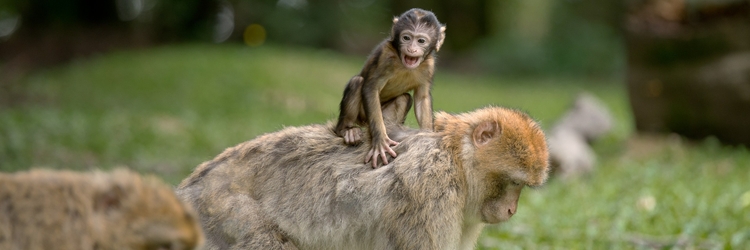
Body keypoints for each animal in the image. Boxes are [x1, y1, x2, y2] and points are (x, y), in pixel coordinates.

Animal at [336, 8, 446, 168]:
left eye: (421, 41)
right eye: (406, 38)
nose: (412, 49)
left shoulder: (429, 66)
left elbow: (422, 98)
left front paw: (426, 139)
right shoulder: (385, 57)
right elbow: (371, 88)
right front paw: (380, 141)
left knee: (404, 98)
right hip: (363, 116)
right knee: (357, 82)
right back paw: (346, 130)